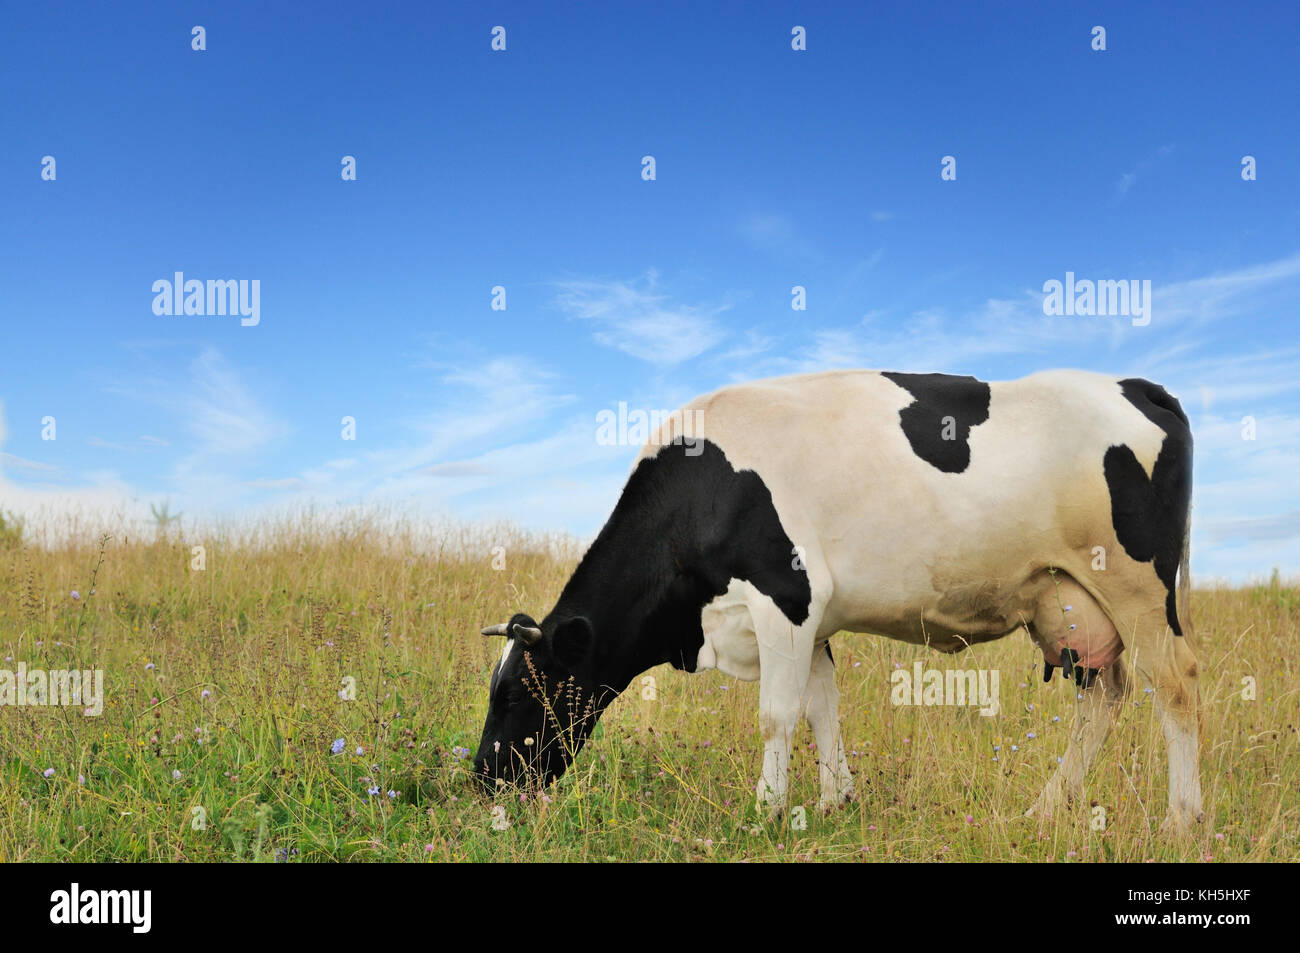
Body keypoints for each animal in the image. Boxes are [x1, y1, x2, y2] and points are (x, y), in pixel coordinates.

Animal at [473, 369, 1204, 830]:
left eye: (515, 693)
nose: (483, 779)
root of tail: (1135, 385)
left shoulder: (787, 593)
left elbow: (776, 715)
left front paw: (766, 811)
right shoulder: (814, 618)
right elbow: (822, 707)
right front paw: (833, 802)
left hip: (1138, 588)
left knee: (1175, 686)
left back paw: (1181, 820)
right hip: (1070, 601)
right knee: (1103, 697)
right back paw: (1045, 809)